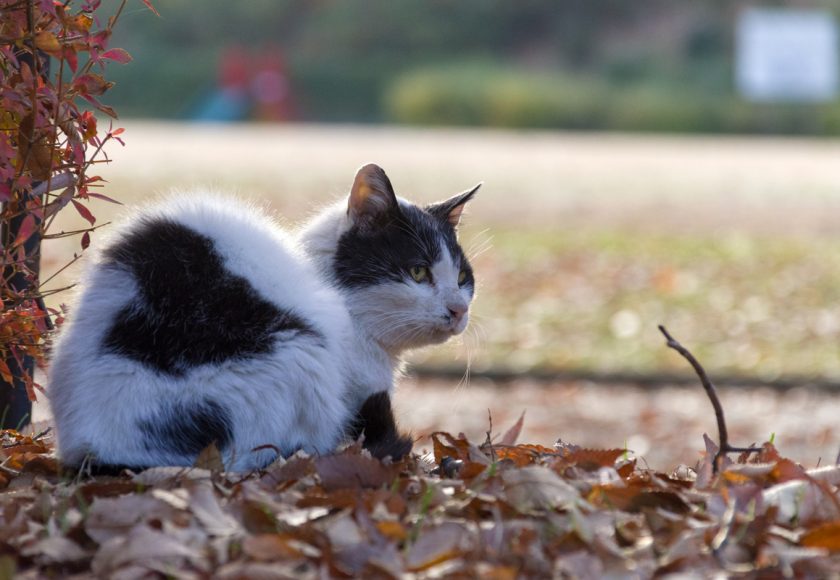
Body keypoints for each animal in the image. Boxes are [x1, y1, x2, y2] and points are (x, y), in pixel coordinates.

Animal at [47, 163, 480, 472]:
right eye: (418, 272)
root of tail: (96, 446)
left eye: (462, 277)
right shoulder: (358, 386)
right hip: (300, 352)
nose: (458, 309)